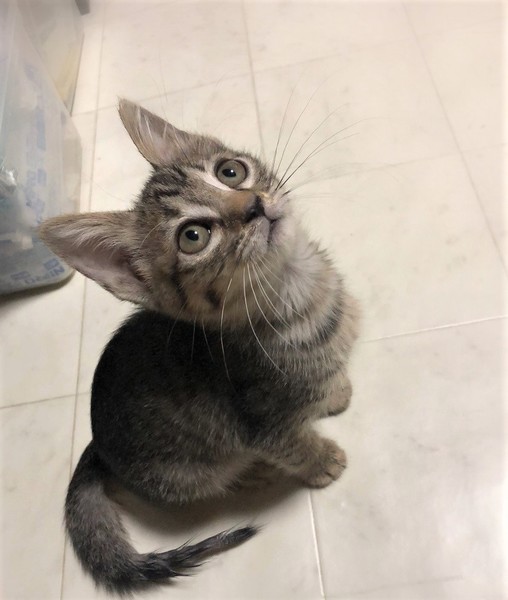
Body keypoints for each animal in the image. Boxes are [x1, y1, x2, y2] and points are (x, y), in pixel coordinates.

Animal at [39, 99, 360, 594]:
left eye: (231, 171)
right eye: (193, 236)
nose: (254, 205)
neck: (305, 297)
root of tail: (95, 444)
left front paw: (335, 391)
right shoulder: (262, 423)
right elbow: (293, 444)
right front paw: (321, 460)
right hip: (196, 469)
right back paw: (255, 472)